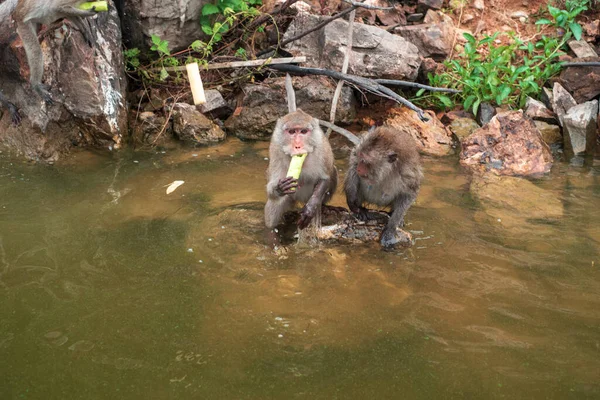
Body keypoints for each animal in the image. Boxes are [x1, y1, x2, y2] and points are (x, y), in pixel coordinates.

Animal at [264, 74, 340, 239]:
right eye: (292, 132)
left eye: (303, 132)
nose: (298, 146)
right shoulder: (275, 149)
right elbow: (271, 188)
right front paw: (279, 187)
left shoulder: (322, 149)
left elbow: (325, 178)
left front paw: (310, 209)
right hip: (291, 197)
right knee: (274, 207)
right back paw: (272, 233)